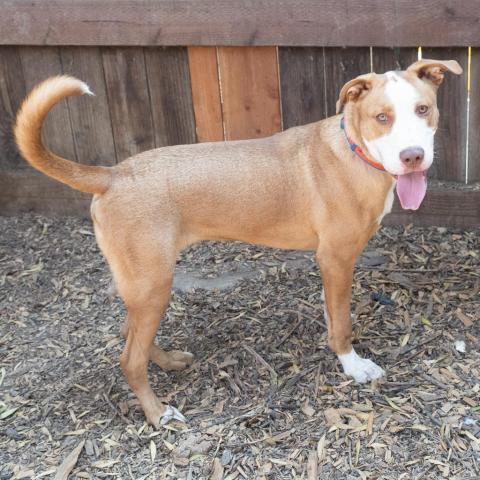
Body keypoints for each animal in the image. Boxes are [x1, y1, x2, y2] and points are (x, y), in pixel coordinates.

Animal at [14, 58, 462, 426]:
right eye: (381, 116)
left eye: (423, 109)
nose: (412, 156)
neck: (354, 151)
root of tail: (112, 175)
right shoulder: (336, 257)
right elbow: (343, 324)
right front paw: (353, 365)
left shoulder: (328, 264)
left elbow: (332, 314)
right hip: (153, 284)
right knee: (129, 360)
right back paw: (159, 414)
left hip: (143, 286)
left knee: (131, 333)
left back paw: (168, 361)